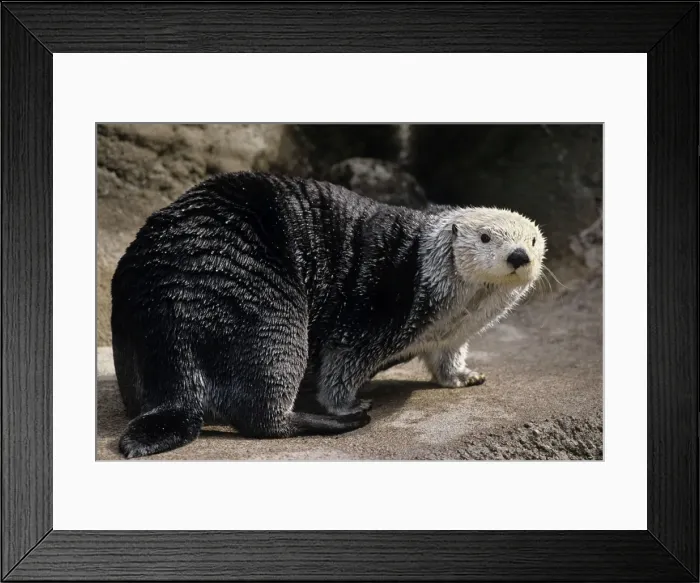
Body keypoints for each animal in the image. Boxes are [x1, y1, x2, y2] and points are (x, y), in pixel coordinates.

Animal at [112, 171, 546, 458]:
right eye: (486, 237)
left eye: (533, 240)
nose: (518, 256)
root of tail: (178, 308)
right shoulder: (376, 307)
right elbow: (343, 362)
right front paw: (349, 404)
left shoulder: (450, 335)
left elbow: (447, 357)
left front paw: (465, 376)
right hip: (270, 313)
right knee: (260, 417)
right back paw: (340, 420)